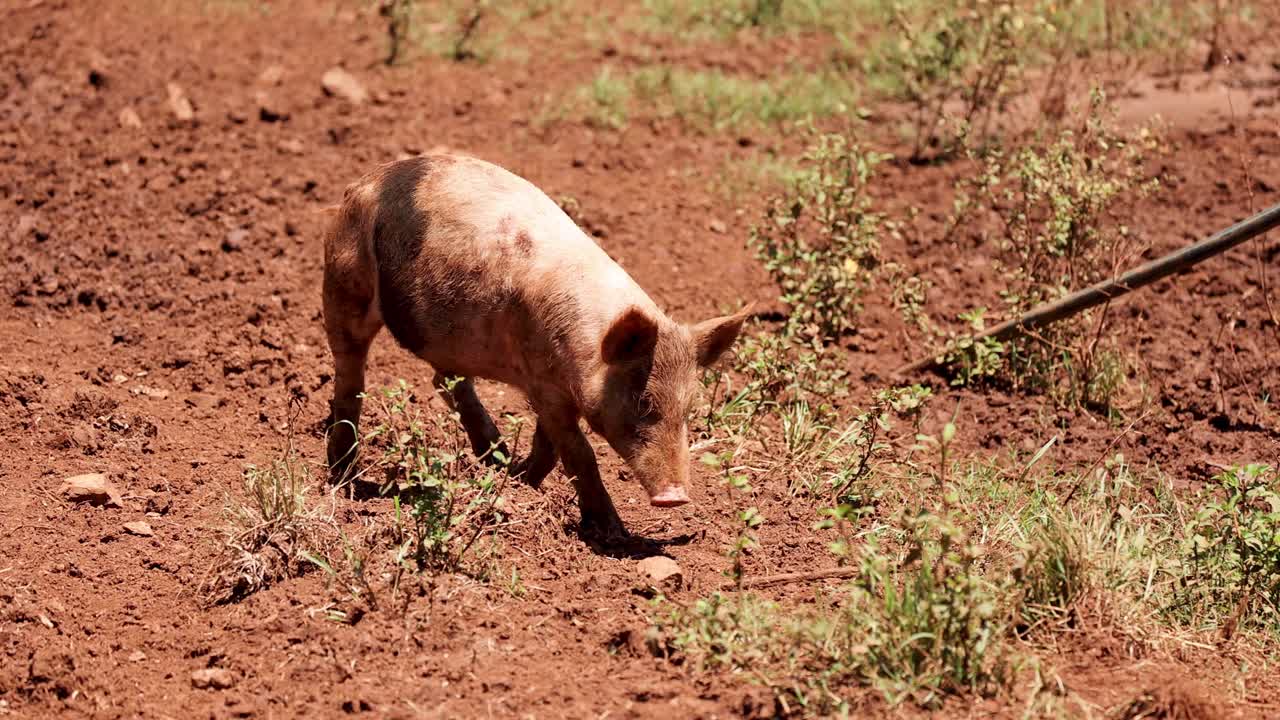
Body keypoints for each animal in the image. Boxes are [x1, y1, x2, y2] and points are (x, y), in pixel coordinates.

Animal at [320, 154, 752, 535]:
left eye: (689, 407)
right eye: (643, 402)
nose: (675, 496)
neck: (589, 348)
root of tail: (366, 181)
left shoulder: (552, 388)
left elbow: (548, 445)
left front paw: (520, 481)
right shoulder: (544, 383)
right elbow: (578, 452)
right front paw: (612, 532)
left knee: (446, 383)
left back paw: (495, 459)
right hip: (344, 278)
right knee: (350, 372)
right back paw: (342, 475)